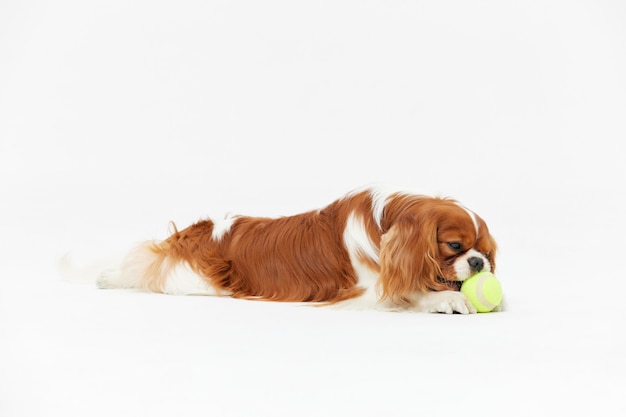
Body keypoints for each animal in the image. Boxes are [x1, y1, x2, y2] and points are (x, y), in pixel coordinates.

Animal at [98, 186, 498, 312]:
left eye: (484, 250)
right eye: (455, 245)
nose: (478, 262)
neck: (384, 226)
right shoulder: (357, 291)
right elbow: (410, 291)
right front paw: (445, 299)